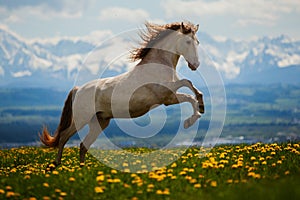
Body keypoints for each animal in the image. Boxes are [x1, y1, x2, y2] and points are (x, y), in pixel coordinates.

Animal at [39, 21, 204, 166]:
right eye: (188, 42)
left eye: (197, 42)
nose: (195, 65)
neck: (157, 65)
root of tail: (78, 89)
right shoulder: (167, 97)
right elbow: (188, 87)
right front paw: (192, 119)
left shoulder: (170, 95)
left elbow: (189, 88)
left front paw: (199, 108)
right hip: (81, 119)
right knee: (64, 137)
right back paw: (57, 165)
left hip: (100, 122)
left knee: (82, 146)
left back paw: (81, 168)